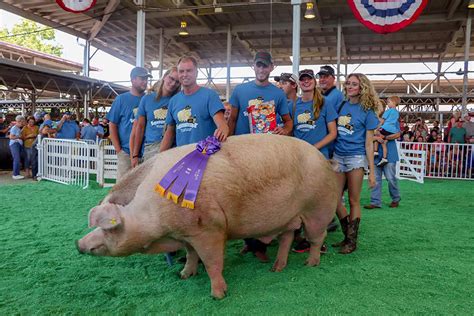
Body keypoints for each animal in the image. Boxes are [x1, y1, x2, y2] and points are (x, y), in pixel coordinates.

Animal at [77, 133, 336, 298]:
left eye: (110, 228)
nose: (79, 244)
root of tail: (324, 158)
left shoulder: (209, 229)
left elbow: (212, 262)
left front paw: (218, 295)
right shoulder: (186, 234)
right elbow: (191, 255)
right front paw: (184, 275)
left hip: (319, 208)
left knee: (317, 237)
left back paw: (310, 263)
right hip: (288, 217)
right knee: (287, 237)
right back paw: (276, 268)